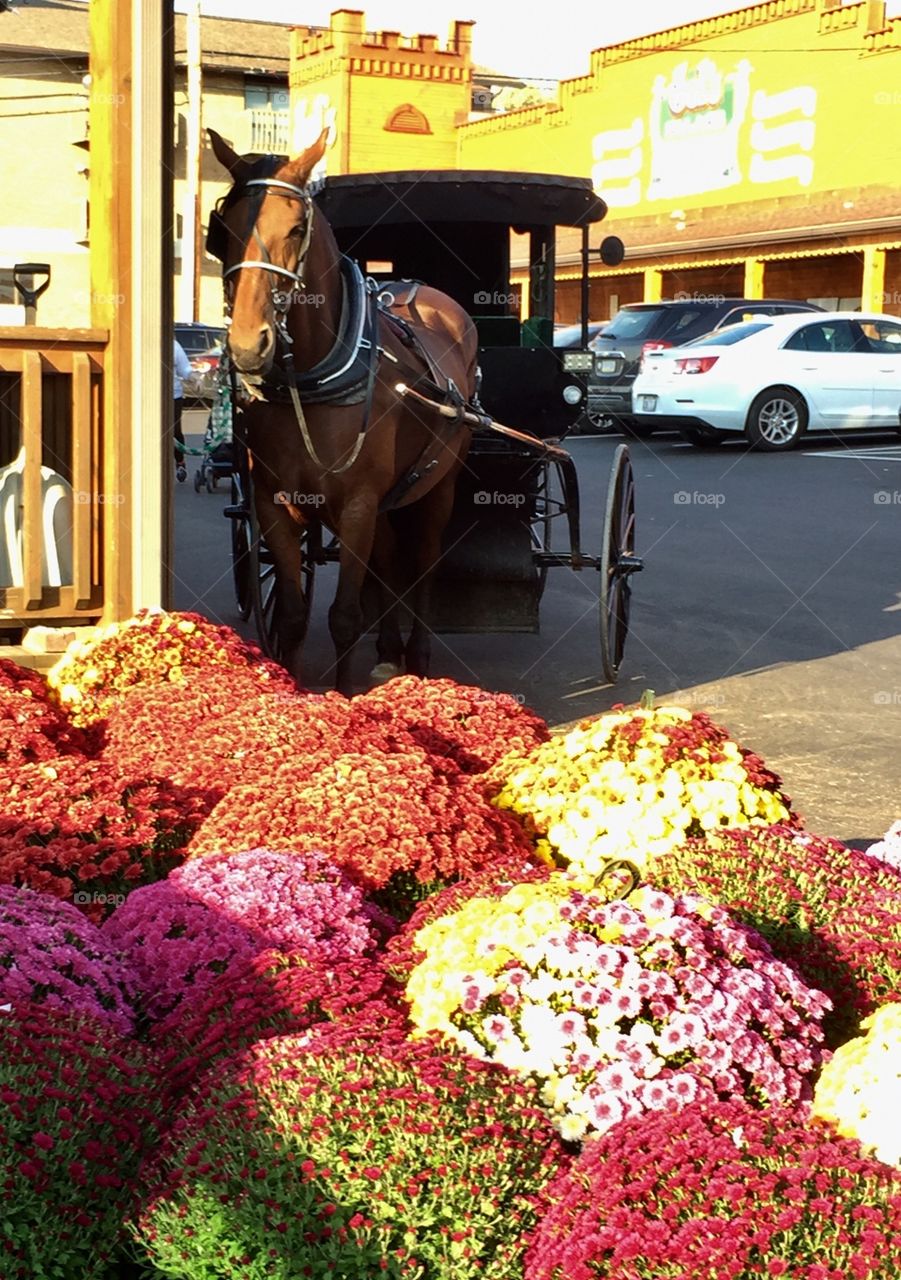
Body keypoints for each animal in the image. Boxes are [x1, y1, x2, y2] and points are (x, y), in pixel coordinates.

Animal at [209, 126, 478, 696]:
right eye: (225, 228)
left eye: (296, 228)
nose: (247, 345)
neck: (312, 380)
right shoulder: (274, 504)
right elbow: (292, 614)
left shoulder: (356, 505)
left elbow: (344, 616)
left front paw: (344, 695)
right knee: (389, 560)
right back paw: (389, 652)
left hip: (437, 486)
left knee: (423, 562)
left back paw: (416, 654)